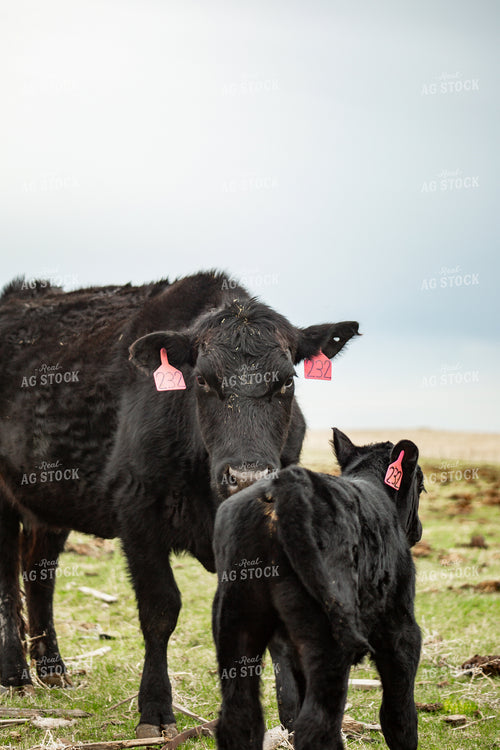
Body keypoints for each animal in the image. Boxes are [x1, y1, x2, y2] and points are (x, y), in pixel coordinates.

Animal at [0, 270, 360, 738]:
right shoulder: (137, 515)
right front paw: (154, 710)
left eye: (287, 381)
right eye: (203, 379)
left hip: (52, 498)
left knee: (39, 573)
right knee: (7, 578)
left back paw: (54, 670)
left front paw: (290, 714)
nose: (247, 478)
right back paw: (16, 675)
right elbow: (160, 610)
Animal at [212, 428, 424, 750]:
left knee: (240, 720)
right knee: (318, 725)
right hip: (330, 637)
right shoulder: (401, 627)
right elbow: (400, 715)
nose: (419, 529)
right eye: (422, 487)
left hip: (235, 625)